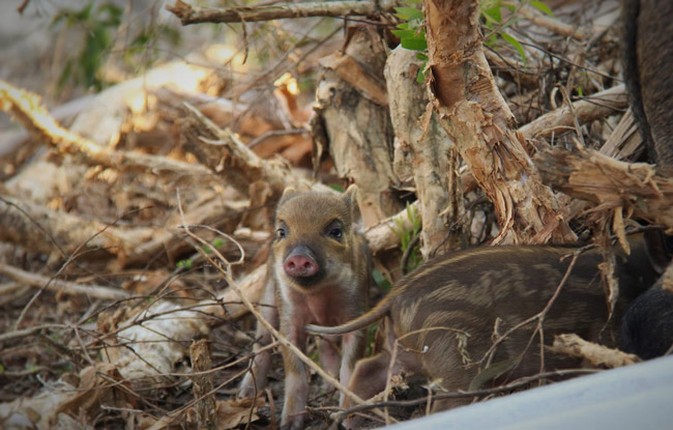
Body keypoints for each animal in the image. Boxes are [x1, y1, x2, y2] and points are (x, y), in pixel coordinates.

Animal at [238, 186, 372, 428]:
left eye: (336, 231)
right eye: (282, 231)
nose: (299, 257)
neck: (317, 295)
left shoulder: (356, 314)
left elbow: (350, 368)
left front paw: (349, 421)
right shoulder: (290, 318)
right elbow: (295, 372)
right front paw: (289, 425)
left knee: (325, 346)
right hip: (268, 296)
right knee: (262, 341)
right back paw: (244, 395)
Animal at [308, 235, 660, 420]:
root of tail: (396, 295)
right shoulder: (603, 332)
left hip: (406, 349)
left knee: (368, 368)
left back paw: (348, 419)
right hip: (454, 362)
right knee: (440, 405)